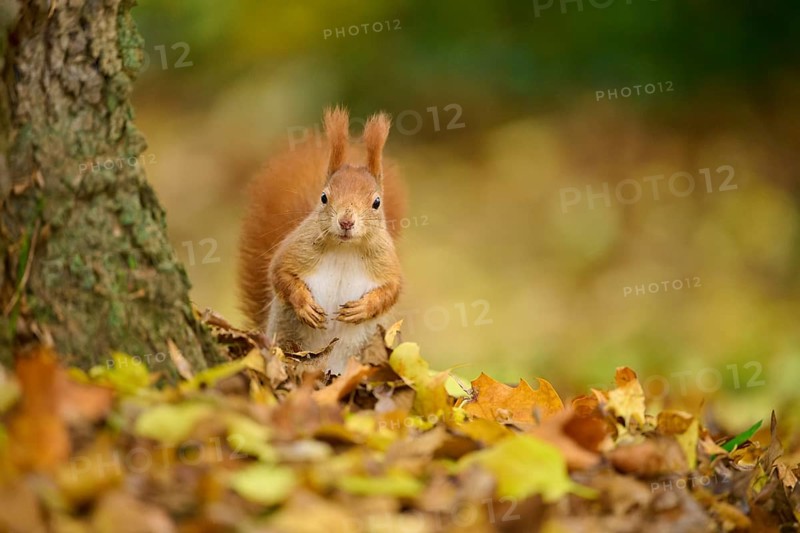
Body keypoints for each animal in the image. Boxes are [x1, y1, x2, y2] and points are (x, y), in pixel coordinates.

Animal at [237, 106, 406, 374]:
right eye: (324, 197)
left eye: (377, 202)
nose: (346, 222)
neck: (345, 249)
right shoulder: (295, 249)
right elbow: (279, 273)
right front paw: (305, 305)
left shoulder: (386, 261)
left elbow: (392, 290)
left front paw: (362, 309)